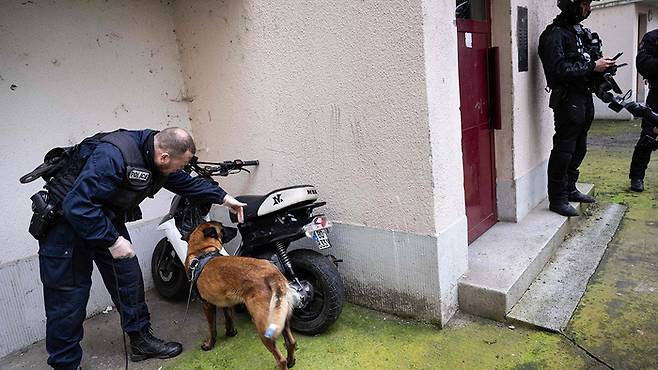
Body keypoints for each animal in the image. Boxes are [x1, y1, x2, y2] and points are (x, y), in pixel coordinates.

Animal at [184, 221, 298, 368]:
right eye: (222, 228)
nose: (235, 229)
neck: (200, 251)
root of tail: (272, 274)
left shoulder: (207, 305)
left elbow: (212, 328)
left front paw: (210, 344)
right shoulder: (225, 302)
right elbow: (229, 318)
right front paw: (230, 332)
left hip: (263, 327)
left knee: (280, 359)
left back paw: (285, 362)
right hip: (281, 318)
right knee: (291, 342)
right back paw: (290, 361)